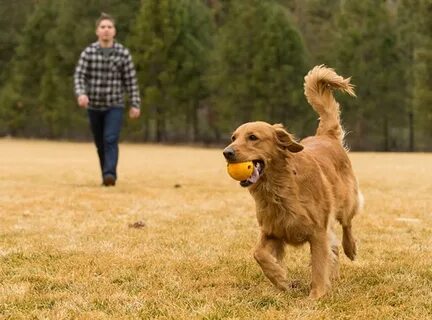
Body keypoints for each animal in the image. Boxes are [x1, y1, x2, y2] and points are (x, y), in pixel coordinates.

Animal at [224, 65, 362, 300]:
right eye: (234, 137)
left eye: (253, 137)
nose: (227, 152)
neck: (280, 188)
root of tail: (326, 136)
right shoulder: (272, 231)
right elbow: (258, 254)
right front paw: (280, 279)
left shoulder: (317, 232)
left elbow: (318, 266)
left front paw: (316, 296)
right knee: (334, 246)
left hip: (346, 202)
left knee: (347, 225)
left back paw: (350, 248)